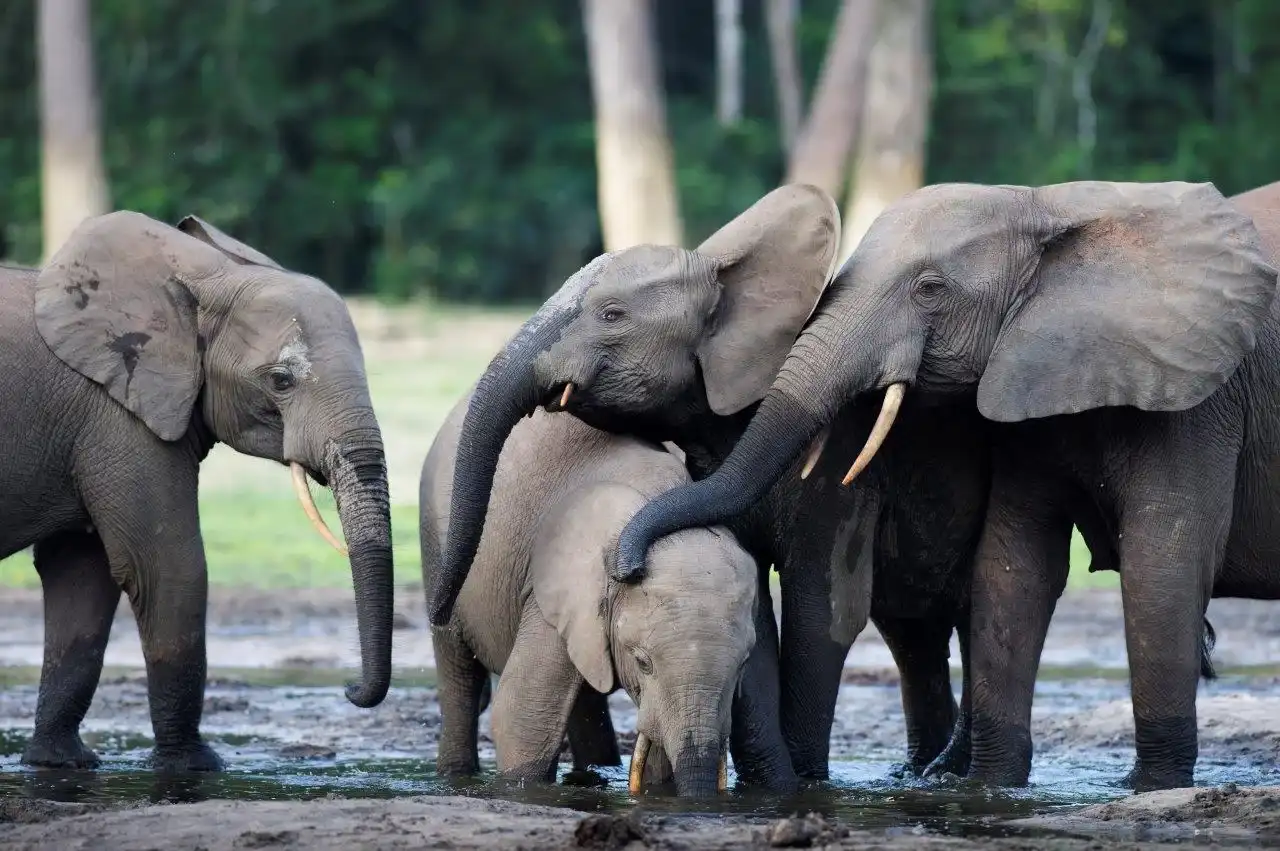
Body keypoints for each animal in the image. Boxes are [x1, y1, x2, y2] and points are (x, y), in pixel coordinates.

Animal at [0, 211, 393, 772]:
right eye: (280, 381)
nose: (348, 688)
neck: (203, 280)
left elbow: (80, 573)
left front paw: (61, 764)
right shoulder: (117, 418)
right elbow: (167, 566)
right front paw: (196, 767)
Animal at [421, 393, 757, 796]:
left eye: (743, 664)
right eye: (643, 661)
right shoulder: (554, 583)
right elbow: (522, 715)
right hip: (435, 543)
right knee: (458, 669)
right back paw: (456, 777)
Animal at [606, 178, 1280, 793]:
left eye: (930, 289)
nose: (624, 564)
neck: (1052, 209)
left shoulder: (1199, 396)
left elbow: (1161, 567)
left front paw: (1152, 788)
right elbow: (1014, 567)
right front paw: (989, 790)